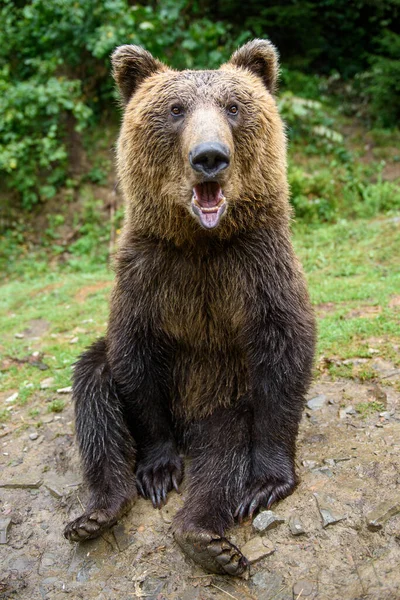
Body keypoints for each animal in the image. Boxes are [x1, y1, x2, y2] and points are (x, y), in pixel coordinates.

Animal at [64, 38, 316, 576]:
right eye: (176, 110)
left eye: (233, 107)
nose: (210, 157)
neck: (201, 242)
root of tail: (193, 426)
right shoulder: (149, 275)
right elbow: (134, 361)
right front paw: (158, 470)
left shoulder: (256, 268)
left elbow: (285, 350)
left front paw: (270, 482)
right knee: (95, 394)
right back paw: (98, 512)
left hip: (229, 398)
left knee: (224, 462)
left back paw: (206, 536)